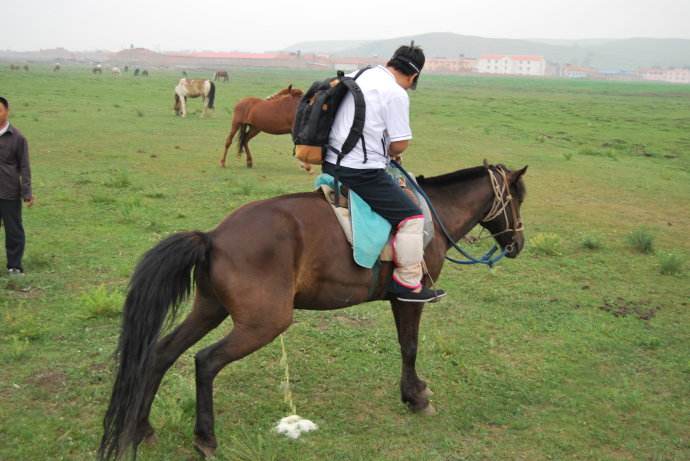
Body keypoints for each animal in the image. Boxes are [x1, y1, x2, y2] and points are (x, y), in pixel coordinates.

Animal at [97, 160, 528, 458]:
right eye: (518, 199)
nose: (518, 244)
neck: (431, 216)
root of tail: (214, 237)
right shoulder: (409, 297)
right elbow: (410, 347)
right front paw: (415, 397)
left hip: (209, 309)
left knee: (162, 353)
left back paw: (142, 428)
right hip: (263, 323)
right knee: (205, 361)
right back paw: (205, 438)